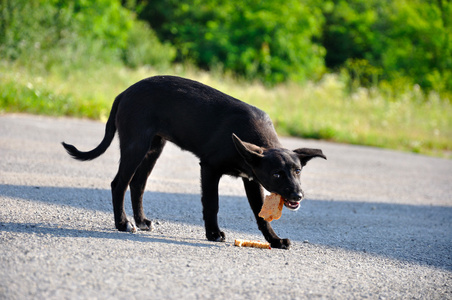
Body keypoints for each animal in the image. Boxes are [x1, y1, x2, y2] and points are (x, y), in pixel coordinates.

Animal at [62, 75, 324, 248]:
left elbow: (260, 215)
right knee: (119, 184)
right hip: (135, 145)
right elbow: (211, 204)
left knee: (137, 184)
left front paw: (275, 240)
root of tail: (125, 93)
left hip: (153, 148)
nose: (298, 195)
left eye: (298, 171)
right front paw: (213, 234)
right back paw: (123, 223)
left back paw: (141, 221)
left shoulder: (251, 179)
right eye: (277, 174)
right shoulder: (209, 168)